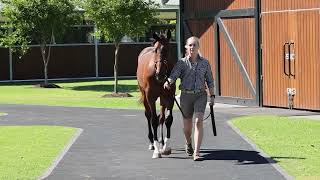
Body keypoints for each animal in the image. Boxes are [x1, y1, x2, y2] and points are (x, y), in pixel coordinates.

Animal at [136, 31, 176, 159]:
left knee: (161, 118)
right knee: (148, 115)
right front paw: (157, 151)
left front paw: (166, 147)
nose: (160, 73)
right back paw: (152, 143)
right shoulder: (151, 98)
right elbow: (153, 120)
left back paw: (161, 141)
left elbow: (168, 119)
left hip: (163, 99)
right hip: (144, 96)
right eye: (156, 50)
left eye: (168, 49)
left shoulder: (169, 96)